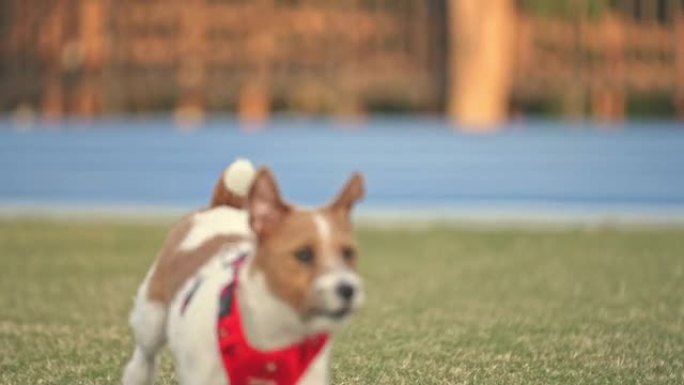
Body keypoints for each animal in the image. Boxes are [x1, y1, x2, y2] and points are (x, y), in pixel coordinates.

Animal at [121, 159, 364, 384]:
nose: (348, 289)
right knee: (143, 358)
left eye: (348, 253)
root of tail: (220, 206)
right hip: (151, 319)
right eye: (304, 254)